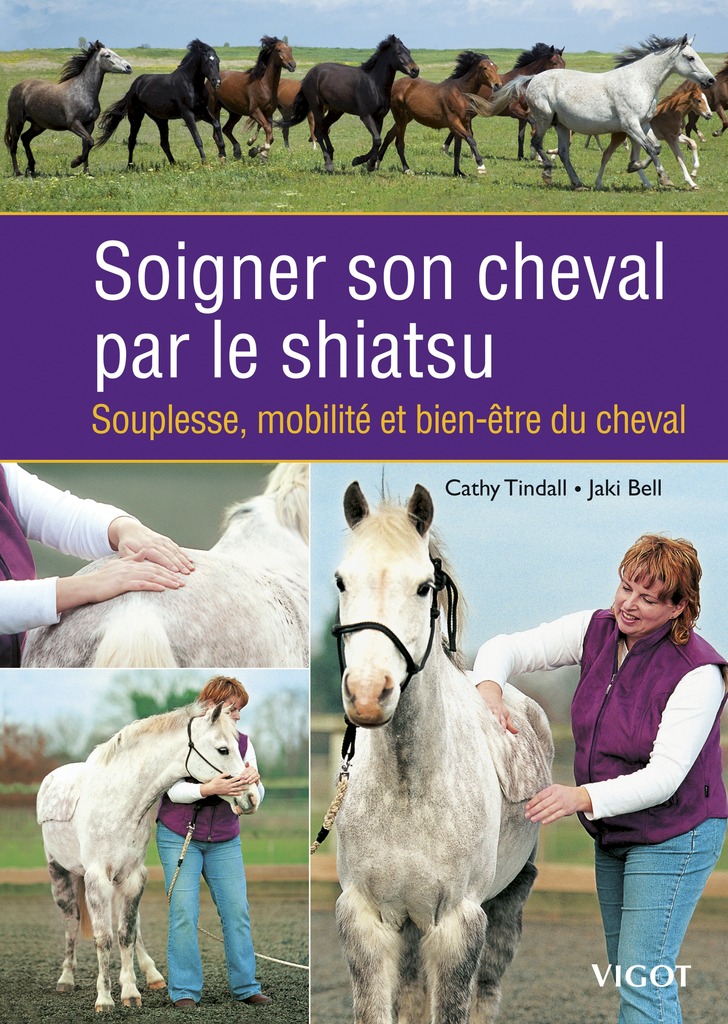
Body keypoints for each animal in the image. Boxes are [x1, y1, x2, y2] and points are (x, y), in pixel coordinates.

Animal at [4, 41, 131, 176]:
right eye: (107, 55)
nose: (129, 67)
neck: (83, 92)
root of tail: (17, 87)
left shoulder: (89, 125)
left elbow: (86, 145)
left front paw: (87, 172)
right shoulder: (73, 124)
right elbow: (90, 141)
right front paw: (74, 163)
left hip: (38, 125)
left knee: (25, 138)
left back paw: (31, 168)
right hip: (18, 122)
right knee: (13, 145)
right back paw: (18, 172)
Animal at [37, 701, 257, 1012]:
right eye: (223, 749)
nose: (251, 797)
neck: (118, 801)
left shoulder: (132, 877)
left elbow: (126, 933)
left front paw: (130, 992)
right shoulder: (97, 879)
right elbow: (103, 938)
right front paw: (104, 999)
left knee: (133, 925)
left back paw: (152, 975)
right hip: (60, 873)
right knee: (71, 920)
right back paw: (66, 978)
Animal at [279, 35, 419, 173]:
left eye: (409, 51)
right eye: (398, 52)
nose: (415, 70)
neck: (374, 85)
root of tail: (309, 75)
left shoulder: (379, 118)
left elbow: (376, 141)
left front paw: (366, 163)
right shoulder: (366, 116)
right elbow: (377, 140)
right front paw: (362, 162)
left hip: (335, 111)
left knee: (324, 127)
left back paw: (331, 155)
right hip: (317, 107)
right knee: (318, 131)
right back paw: (328, 163)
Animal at [332, 482, 553, 1024]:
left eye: (423, 587)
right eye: (342, 581)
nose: (368, 694)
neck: (408, 788)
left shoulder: (456, 926)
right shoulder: (367, 921)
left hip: (507, 903)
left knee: (486, 993)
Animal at [481, 35, 715, 189]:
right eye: (690, 57)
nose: (711, 80)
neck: (640, 81)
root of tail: (533, 78)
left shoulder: (644, 124)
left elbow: (655, 147)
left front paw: (637, 167)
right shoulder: (631, 124)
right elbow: (651, 149)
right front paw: (658, 175)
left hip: (561, 125)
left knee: (564, 153)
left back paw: (577, 183)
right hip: (544, 119)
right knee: (537, 142)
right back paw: (547, 171)